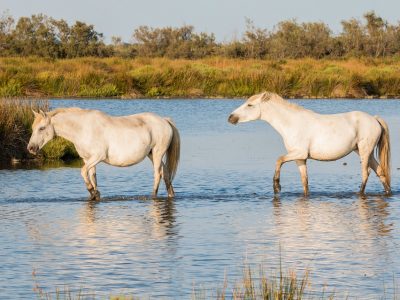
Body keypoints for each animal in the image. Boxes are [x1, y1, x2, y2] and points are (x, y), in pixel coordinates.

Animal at [26, 108, 180, 199]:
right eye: (33, 127)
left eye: (42, 128)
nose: (31, 148)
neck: (83, 129)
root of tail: (164, 120)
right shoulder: (88, 159)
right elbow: (92, 177)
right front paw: (95, 194)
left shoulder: (97, 157)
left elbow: (83, 172)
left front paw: (92, 191)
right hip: (152, 154)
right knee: (166, 174)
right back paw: (171, 194)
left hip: (158, 153)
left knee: (157, 175)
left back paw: (153, 196)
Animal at [230, 91, 390, 196]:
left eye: (250, 105)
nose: (231, 117)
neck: (291, 123)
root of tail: (374, 119)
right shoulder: (300, 159)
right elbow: (304, 181)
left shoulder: (299, 153)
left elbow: (279, 159)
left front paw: (277, 187)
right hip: (364, 151)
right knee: (380, 172)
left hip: (364, 151)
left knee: (366, 173)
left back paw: (359, 194)